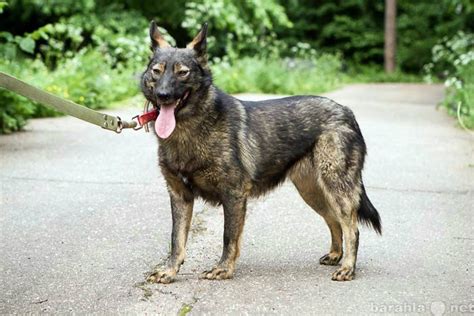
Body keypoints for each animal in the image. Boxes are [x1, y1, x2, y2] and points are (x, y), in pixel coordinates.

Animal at [141, 22, 382, 284]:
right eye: (156, 71)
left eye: (182, 72)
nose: (163, 95)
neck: (191, 127)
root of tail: (346, 111)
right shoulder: (180, 196)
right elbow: (176, 240)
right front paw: (170, 270)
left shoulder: (234, 195)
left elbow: (228, 237)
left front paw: (223, 268)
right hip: (313, 191)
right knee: (334, 219)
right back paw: (336, 255)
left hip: (336, 187)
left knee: (352, 227)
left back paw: (348, 267)